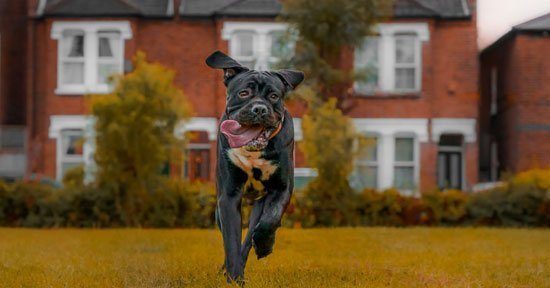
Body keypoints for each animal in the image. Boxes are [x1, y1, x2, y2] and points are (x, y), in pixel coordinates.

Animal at [206, 50, 304, 282]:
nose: (259, 109)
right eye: (244, 93)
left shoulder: (281, 189)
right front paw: (234, 278)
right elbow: (231, 241)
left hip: (260, 203)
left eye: (274, 96)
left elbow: (270, 220)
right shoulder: (228, 196)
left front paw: (264, 246)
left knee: (253, 231)